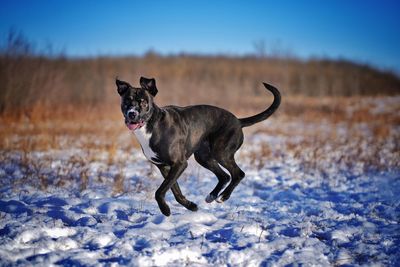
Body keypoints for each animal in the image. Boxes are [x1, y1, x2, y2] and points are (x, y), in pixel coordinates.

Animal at [115, 77, 280, 216]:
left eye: (143, 102)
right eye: (127, 101)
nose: (132, 113)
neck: (153, 125)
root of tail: (238, 121)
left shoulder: (180, 164)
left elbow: (160, 191)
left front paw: (165, 210)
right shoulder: (164, 167)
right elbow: (175, 190)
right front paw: (191, 206)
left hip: (221, 152)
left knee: (238, 174)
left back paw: (222, 197)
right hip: (203, 157)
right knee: (224, 176)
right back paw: (212, 196)